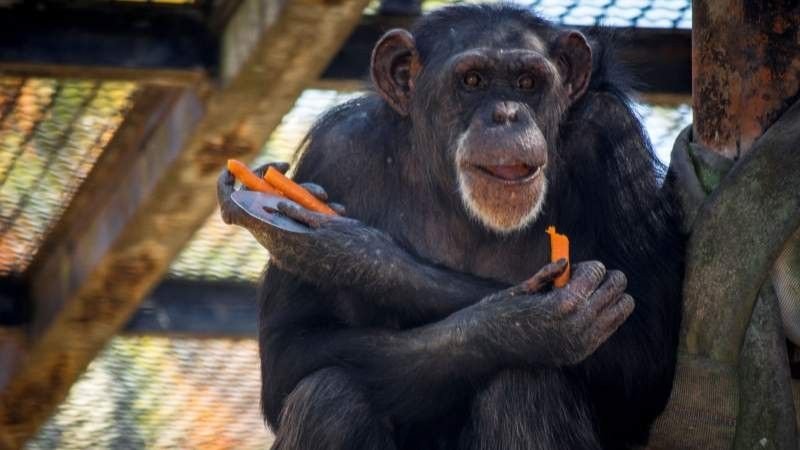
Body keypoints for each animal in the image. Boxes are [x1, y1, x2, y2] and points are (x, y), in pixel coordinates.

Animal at [217, 4, 680, 450]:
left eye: (527, 82)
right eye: (472, 80)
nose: (507, 114)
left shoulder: (610, 137)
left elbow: (642, 356)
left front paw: (355, 254)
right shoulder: (333, 152)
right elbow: (293, 348)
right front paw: (523, 324)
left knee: (527, 387)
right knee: (328, 397)